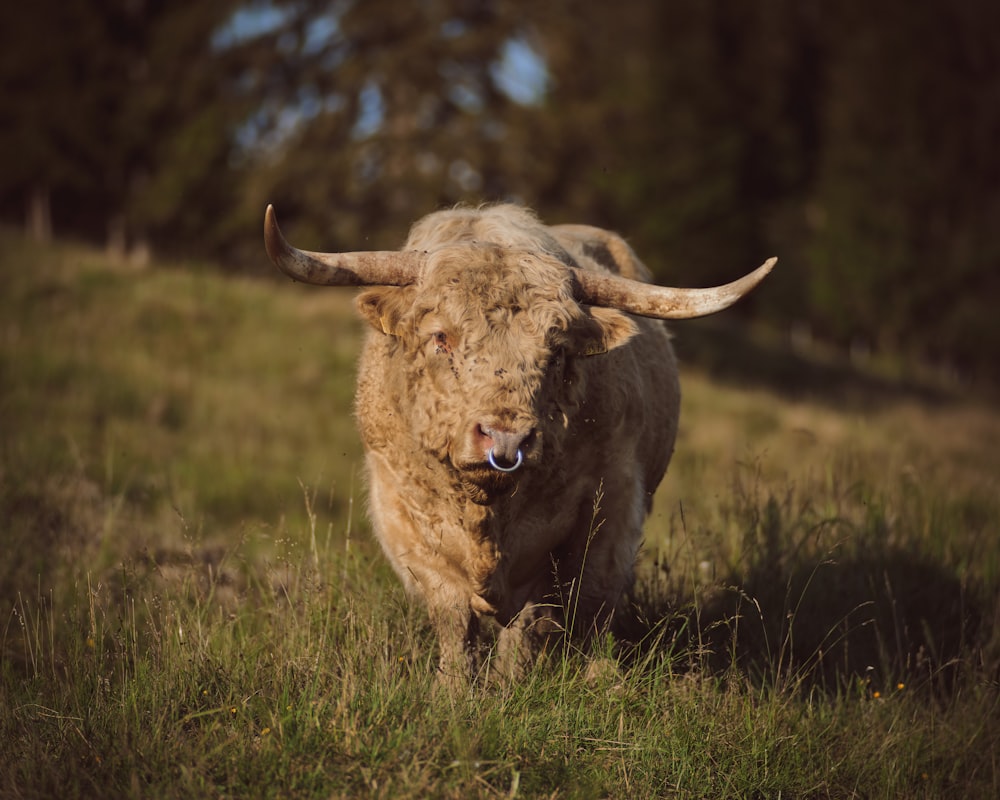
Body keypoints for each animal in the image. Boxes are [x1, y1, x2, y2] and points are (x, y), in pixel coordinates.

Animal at [260, 203, 772, 684]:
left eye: (558, 350)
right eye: (441, 337)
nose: (506, 439)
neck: (487, 514)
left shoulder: (602, 506)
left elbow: (542, 614)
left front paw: (512, 684)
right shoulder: (400, 511)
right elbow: (452, 615)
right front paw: (452, 690)